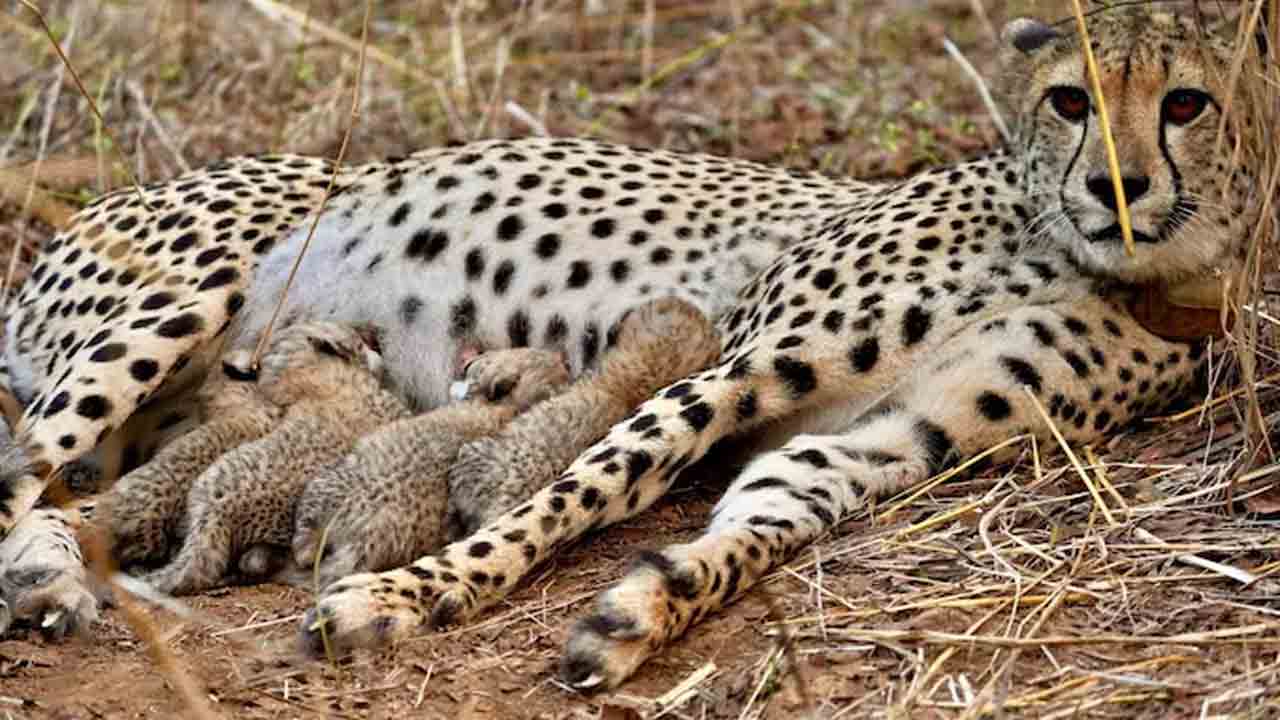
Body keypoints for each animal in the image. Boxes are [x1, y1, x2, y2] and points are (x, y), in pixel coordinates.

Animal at [0, 6, 1258, 691]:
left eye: (1185, 102)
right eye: (1067, 100)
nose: (1115, 187)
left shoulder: (883, 438)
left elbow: (756, 524)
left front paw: (641, 613)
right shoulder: (732, 362)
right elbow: (581, 488)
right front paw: (413, 593)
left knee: (78, 500)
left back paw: (59, 577)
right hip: (170, 309)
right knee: (22, 473)